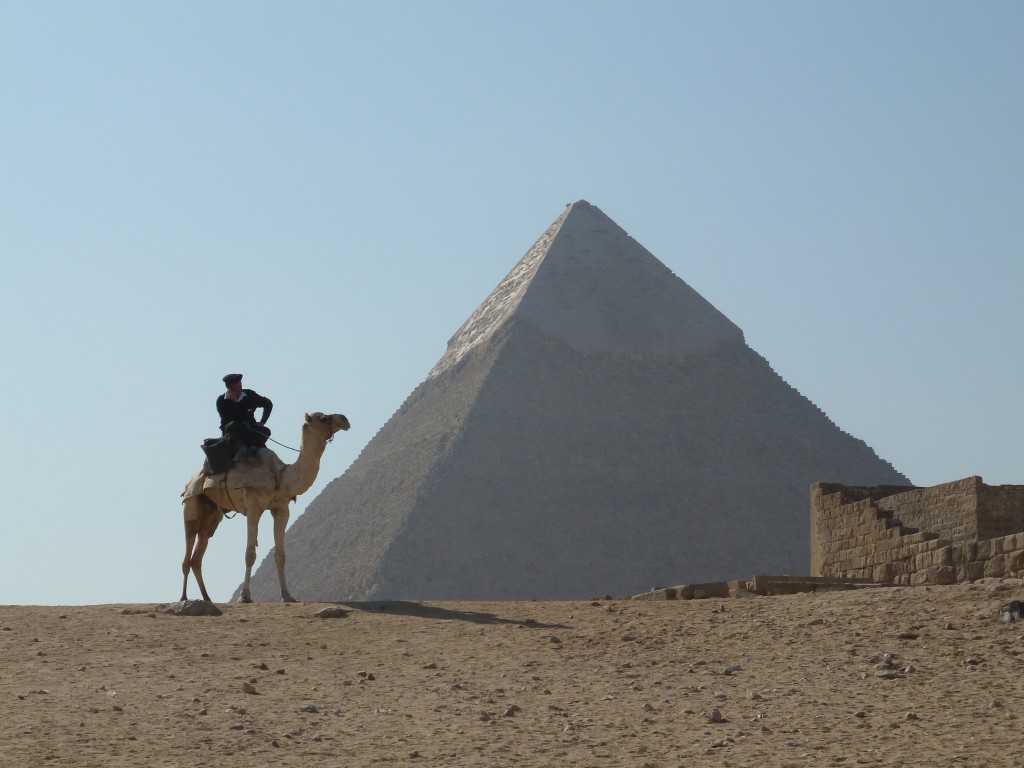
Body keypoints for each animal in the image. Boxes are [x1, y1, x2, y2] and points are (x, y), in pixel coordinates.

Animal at [179, 411, 348, 606]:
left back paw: (207, 598)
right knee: (188, 547)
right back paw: (184, 598)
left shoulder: (281, 510)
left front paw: (288, 596)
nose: (344, 419)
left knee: (198, 553)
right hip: (192, 502)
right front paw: (244, 596)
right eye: (322, 418)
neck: (281, 477)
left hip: (213, 514)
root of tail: (190, 481)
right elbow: (250, 553)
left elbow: (280, 555)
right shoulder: (254, 508)